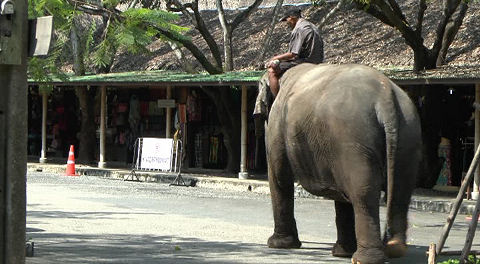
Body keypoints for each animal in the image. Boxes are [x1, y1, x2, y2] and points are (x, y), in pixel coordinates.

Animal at [255, 63, 420, 264]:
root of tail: (386, 97)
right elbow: (341, 196)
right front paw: (341, 252)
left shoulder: (278, 124)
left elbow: (279, 177)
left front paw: (277, 244)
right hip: (407, 136)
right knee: (400, 192)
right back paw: (393, 248)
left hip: (353, 143)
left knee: (363, 194)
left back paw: (364, 259)